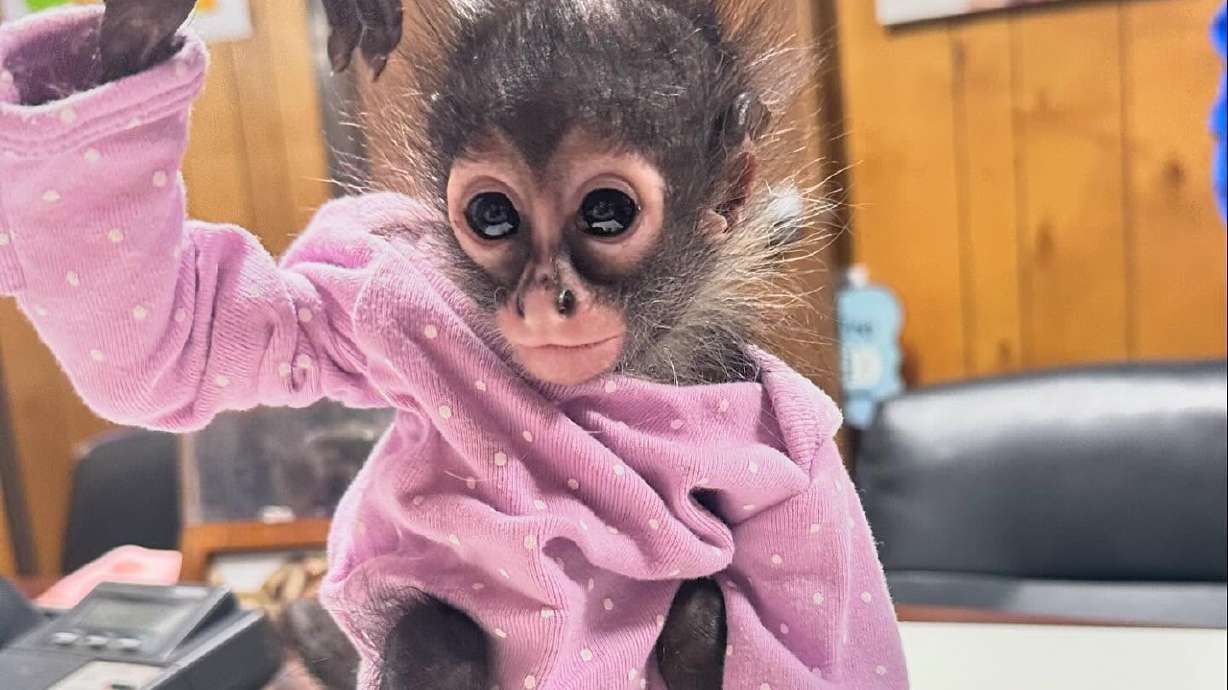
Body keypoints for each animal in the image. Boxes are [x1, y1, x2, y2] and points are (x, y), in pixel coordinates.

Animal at [0, 2, 908, 689]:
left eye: (607, 213)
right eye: (493, 216)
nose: (547, 298)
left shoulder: (783, 435)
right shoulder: (380, 309)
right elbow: (178, 342)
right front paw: (136, 29)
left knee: (696, 616)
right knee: (434, 636)